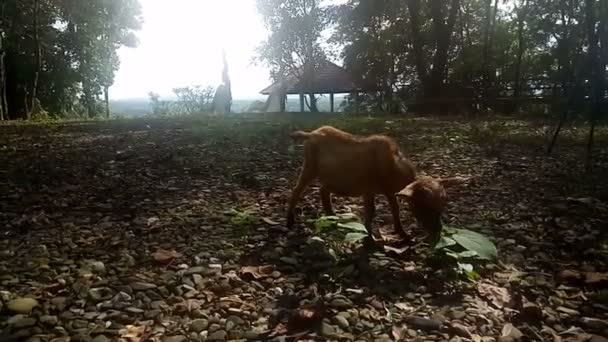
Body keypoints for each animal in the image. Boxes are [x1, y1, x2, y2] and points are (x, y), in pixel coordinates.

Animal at [288, 126, 464, 243]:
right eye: (423, 206)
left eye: (442, 205)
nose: (437, 232)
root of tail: (311, 134)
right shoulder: (370, 189)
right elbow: (376, 211)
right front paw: (373, 237)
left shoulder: (386, 191)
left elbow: (391, 210)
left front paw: (400, 234)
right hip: (310, 166)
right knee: (297, 190)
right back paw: (290, 221)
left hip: (335, 179)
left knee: (323, 190)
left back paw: (332, 217)